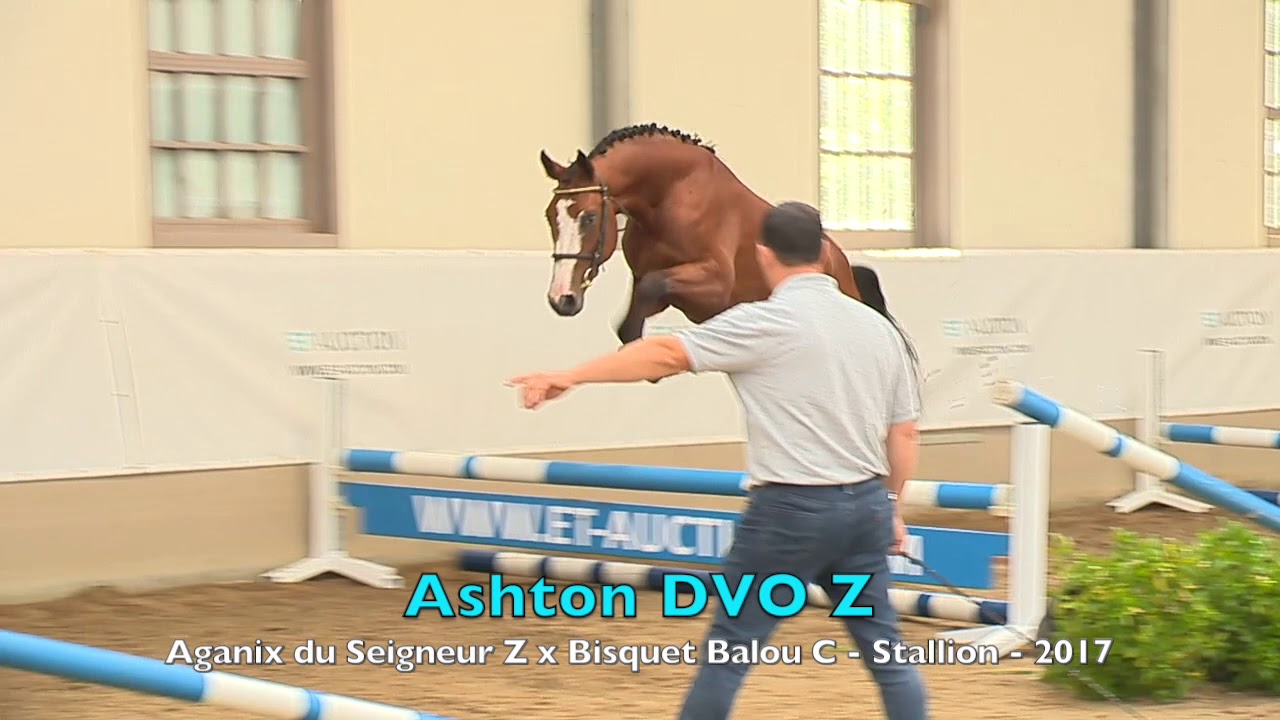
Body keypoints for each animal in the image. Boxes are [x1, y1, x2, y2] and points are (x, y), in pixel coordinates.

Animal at [537, 123, 915, 363]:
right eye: (550, 216)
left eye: (588, 217)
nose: (562, 299)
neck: (670, 194)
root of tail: (842, 264)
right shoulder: (660, 289)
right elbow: (644, 293)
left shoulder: (715, 285)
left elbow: (651, 287)